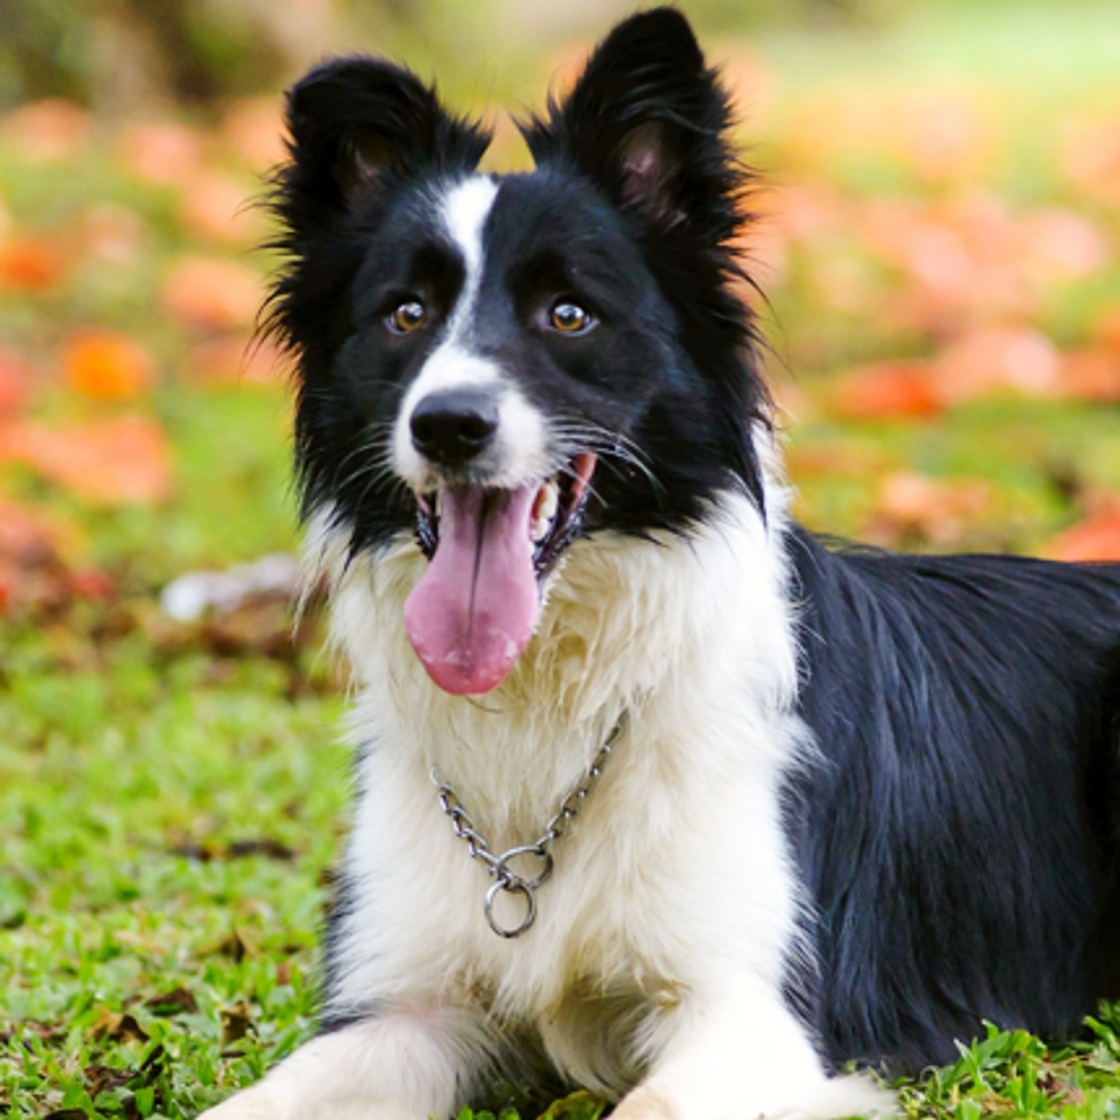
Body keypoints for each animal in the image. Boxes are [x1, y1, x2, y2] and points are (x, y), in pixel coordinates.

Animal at [201, 10, 1120, 1120]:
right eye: (405, 315)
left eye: (568, 314)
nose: (448, 425)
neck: (554, 701)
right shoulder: (401, 1005)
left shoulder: (754, 1012)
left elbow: (656, 1102)